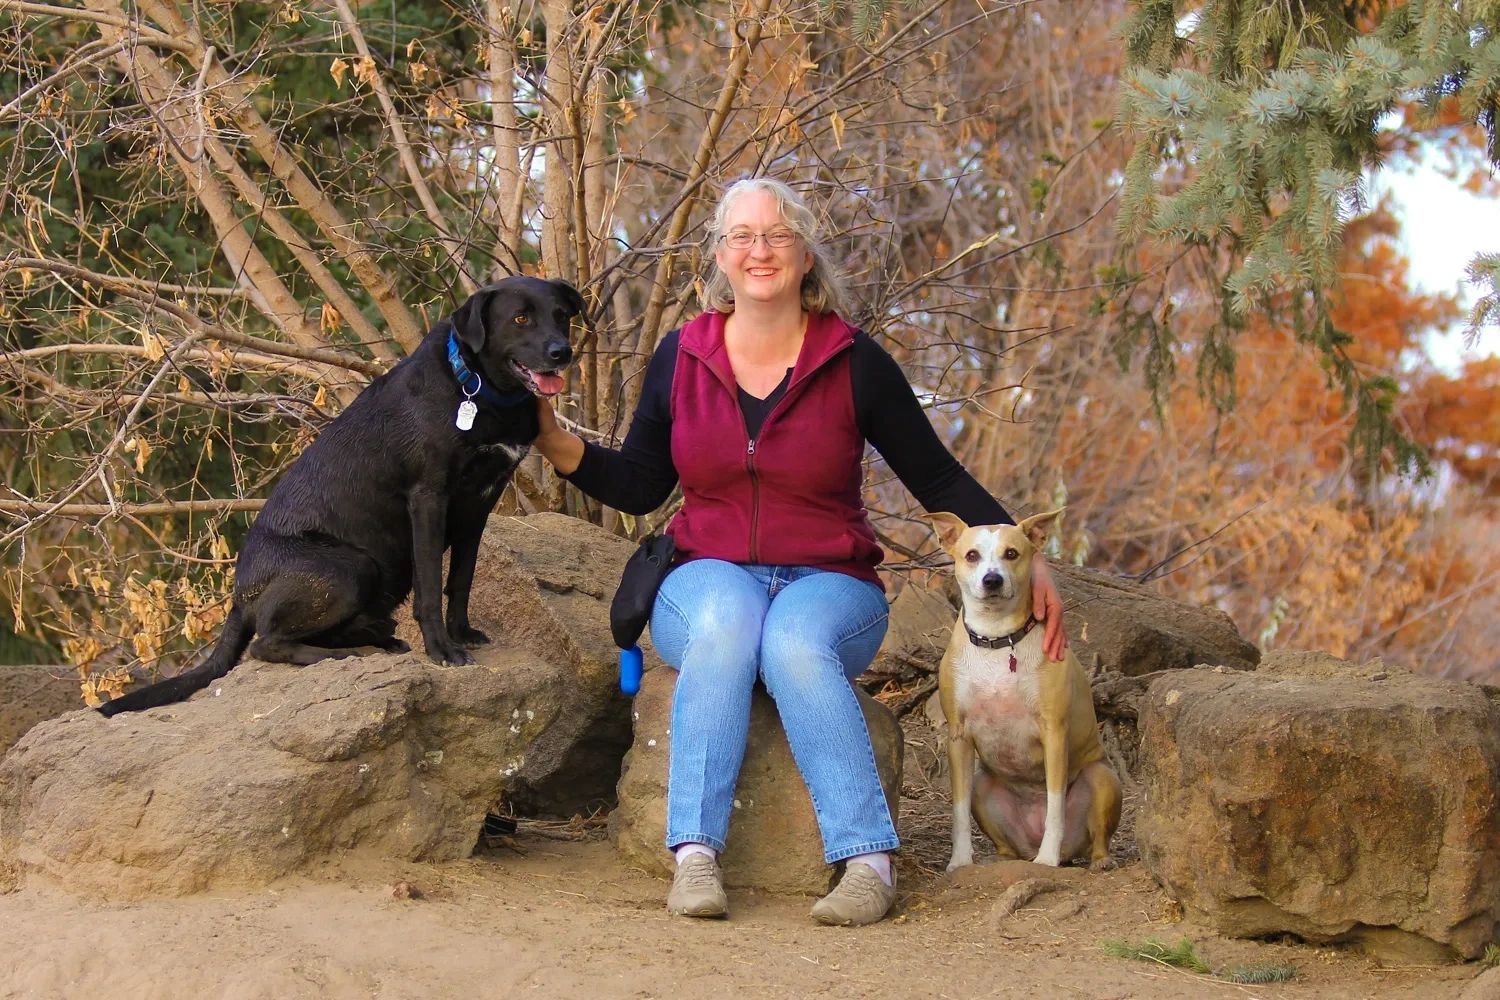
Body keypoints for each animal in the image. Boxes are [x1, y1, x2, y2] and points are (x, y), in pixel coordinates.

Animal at [98, 271, 579, 719]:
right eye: (520, 318)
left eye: (561, 315)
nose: (563, 353)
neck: (477, 389)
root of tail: (239, 595)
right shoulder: (429, 498)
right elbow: (429, 586)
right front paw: (442, 650)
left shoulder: (479, 504)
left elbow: (460, 580)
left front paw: (462, 634)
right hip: (349, 568)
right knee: (266, 644)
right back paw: (341, 652)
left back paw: (375, 637)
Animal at [924, 512, 1128, 869]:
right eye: (971, 555)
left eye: (1012, 554)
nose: (992, 580)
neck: (996, 639)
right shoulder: (958, 737)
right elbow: (958, 810)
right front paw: (960, 861)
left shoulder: (1054, 733)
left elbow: (1055, 806)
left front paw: (1048, 859)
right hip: (984, 788)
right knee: (1005, 843)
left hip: (1102, 778)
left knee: (1097, 837)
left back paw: (1094, 860)